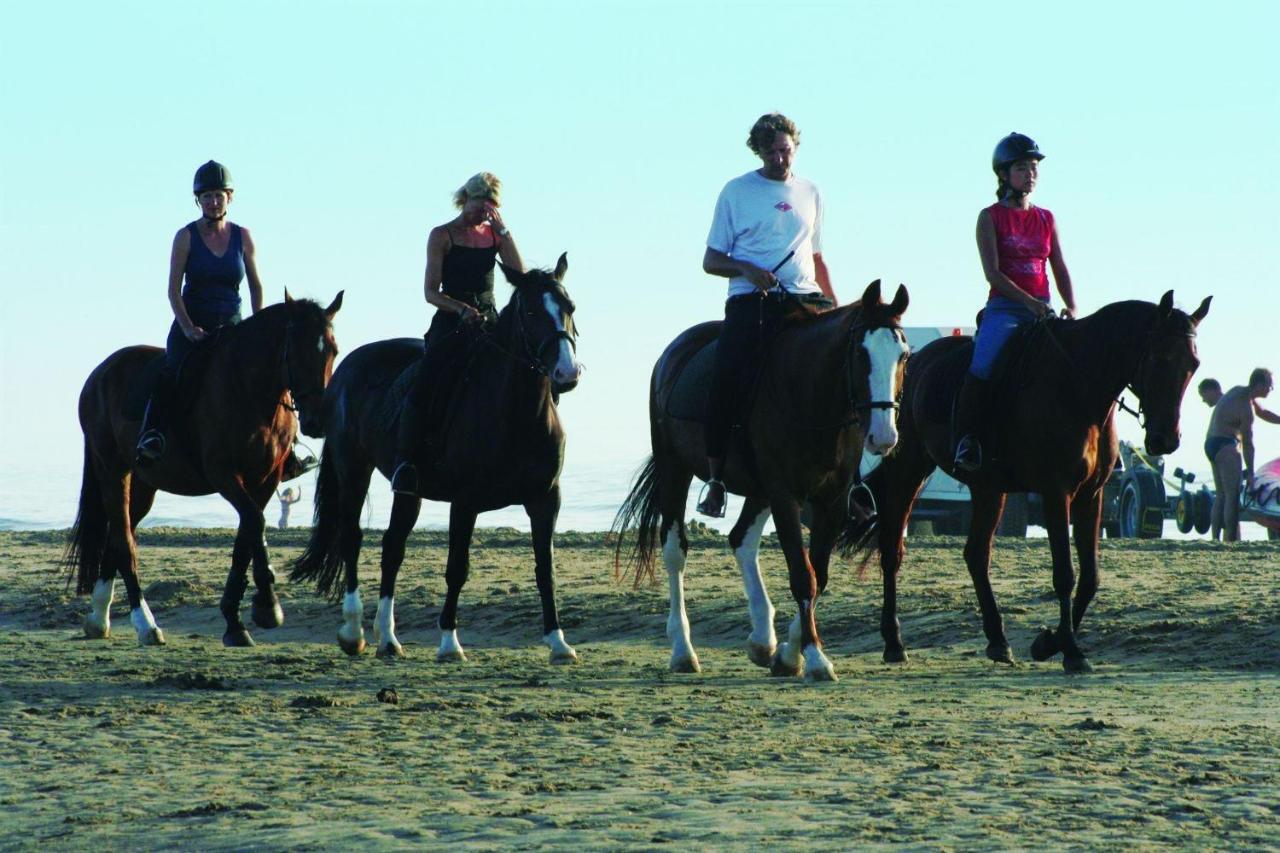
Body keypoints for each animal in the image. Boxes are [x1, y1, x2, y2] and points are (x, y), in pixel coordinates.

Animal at [63, 292, 345, 645]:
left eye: (333, 350)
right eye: (295, 350)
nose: (317, 420)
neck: (249, 390)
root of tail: (100, 373)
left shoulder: (265, 479)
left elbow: (247, 534)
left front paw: (239, 620)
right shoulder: (224, 474)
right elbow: (254, 522)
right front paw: (266, 606)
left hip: (143, 483)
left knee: (118, 535)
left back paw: (99, 618)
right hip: (113, 471)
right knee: (124, 542)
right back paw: (145, 624)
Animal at [288, 256, 583, 660]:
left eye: (570, 308)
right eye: (532, 311)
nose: (567, 374)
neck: (517, 413)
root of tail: (346, 370)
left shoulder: (545, 500)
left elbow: (545, 570)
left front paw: (558, 642)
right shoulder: (466, 501)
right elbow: (457, 567)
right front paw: (449, 643)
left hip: (408, 489)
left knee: (392, 547)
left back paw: (389, 639)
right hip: (354, 469)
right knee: (352, 537)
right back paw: (353, 631)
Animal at [611, 279, 906, 676]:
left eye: (903, 355)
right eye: (861, 355)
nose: (884, 437)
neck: (809, 396)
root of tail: (674, 352)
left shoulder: (831, 500)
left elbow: (819, 574)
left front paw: (789, 654)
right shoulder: (785, 495)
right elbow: (803, 576)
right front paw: (815, 658)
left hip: (757, 490)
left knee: (740, 539)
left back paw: (763, 640)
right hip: (675, 468)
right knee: (675, 551)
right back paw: (683, 651)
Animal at [839, 290, 1208, 671]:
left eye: (1193, 364)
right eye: (1161, 357)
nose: (1165, 440)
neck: (1079, 387)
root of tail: (917, 361)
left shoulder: (1091, 495)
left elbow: (1090, 578)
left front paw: (1048, 643)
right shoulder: (1056, 492)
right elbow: (1065, 573)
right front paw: (1071, 651)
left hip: (988, 489)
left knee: (976, 554)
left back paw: (998, 640)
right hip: (908, 470)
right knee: (892, 550)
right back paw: (894, 641)